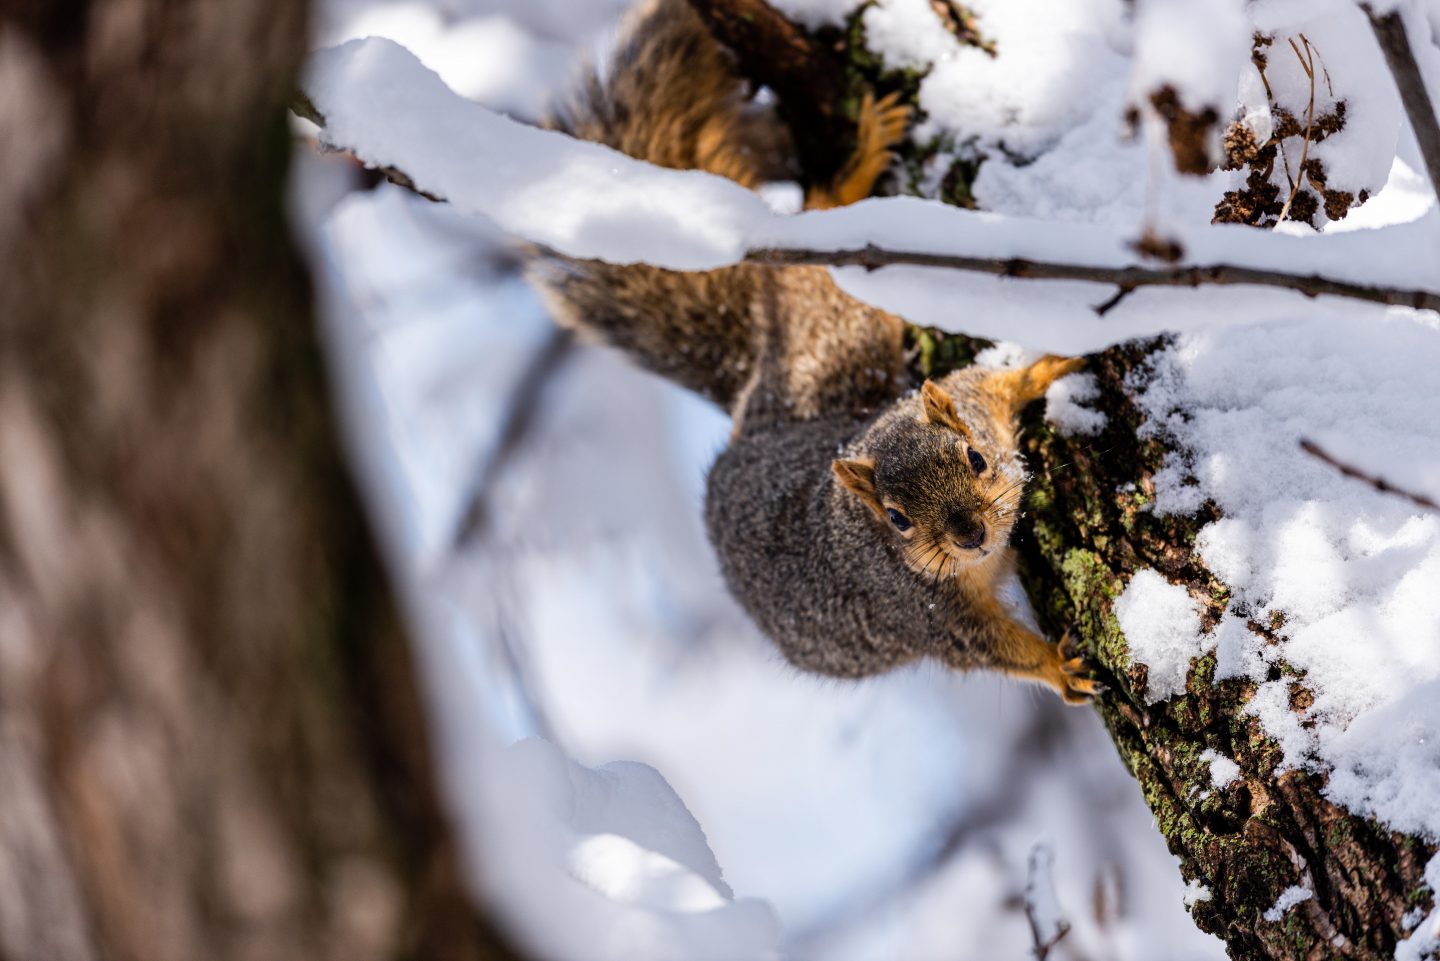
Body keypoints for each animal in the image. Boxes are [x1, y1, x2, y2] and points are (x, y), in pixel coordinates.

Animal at [532, 1, 1100, 705]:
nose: (968, 533)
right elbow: (990, 648)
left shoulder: (972, 402)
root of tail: (753, 410)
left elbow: (998, 382)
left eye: (974, 456)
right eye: (896, 518)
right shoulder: (924, 612)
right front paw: (1059, 668)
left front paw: (1050, 364)